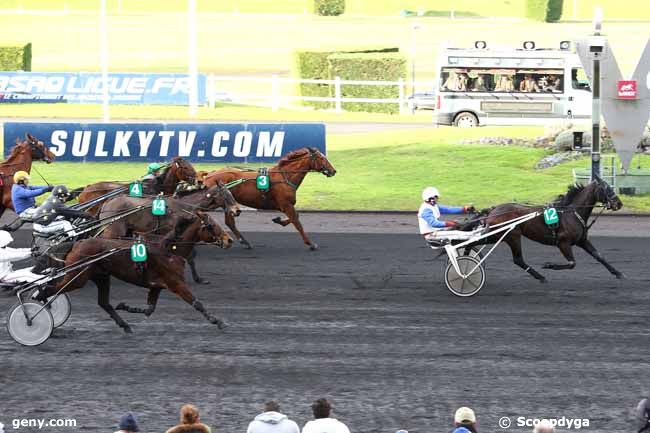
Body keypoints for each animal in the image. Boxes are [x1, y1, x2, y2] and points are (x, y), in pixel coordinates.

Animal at [32, 238, 228, 332]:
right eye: (210, 224)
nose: (228, 240)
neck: (168, 252)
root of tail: (77, 243)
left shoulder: (156, 286)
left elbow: (149, 309)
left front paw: (125, 306)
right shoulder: (176, 283)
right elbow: (196, 303)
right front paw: (217, 321)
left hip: (101, 277)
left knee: (104, 303)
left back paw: (125, 325)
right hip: (78, 277)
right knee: (51, 289)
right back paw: (34, 309)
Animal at [96, 183, 238, 282]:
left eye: (231, 193)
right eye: (226, 195)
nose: (237, 210)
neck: (183, 206)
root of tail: (108, 202)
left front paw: (198, 278)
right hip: (113, 230)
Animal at [204, 146, 336, 250]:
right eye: (322, 158)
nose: (333, 171)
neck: (285, 177)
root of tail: (210, 175)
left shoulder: (287, 205)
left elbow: (295, 217)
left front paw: (278, 220)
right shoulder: (286, 205)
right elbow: (297, 222)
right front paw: (311, 244)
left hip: (227, 203)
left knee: (230, 222)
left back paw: (245, 242)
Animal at [476, 176, 624, 284]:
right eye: (606, 188)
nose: (619, 203)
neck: (571, 213)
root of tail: (493, 210)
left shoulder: (581, 240)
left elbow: (599, 256)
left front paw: (618, 273)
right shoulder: (563, 242)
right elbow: (572, 263)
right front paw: (549, 265)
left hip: (499, 236)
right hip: (513, 236)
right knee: (518, 259)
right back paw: (540, 276)